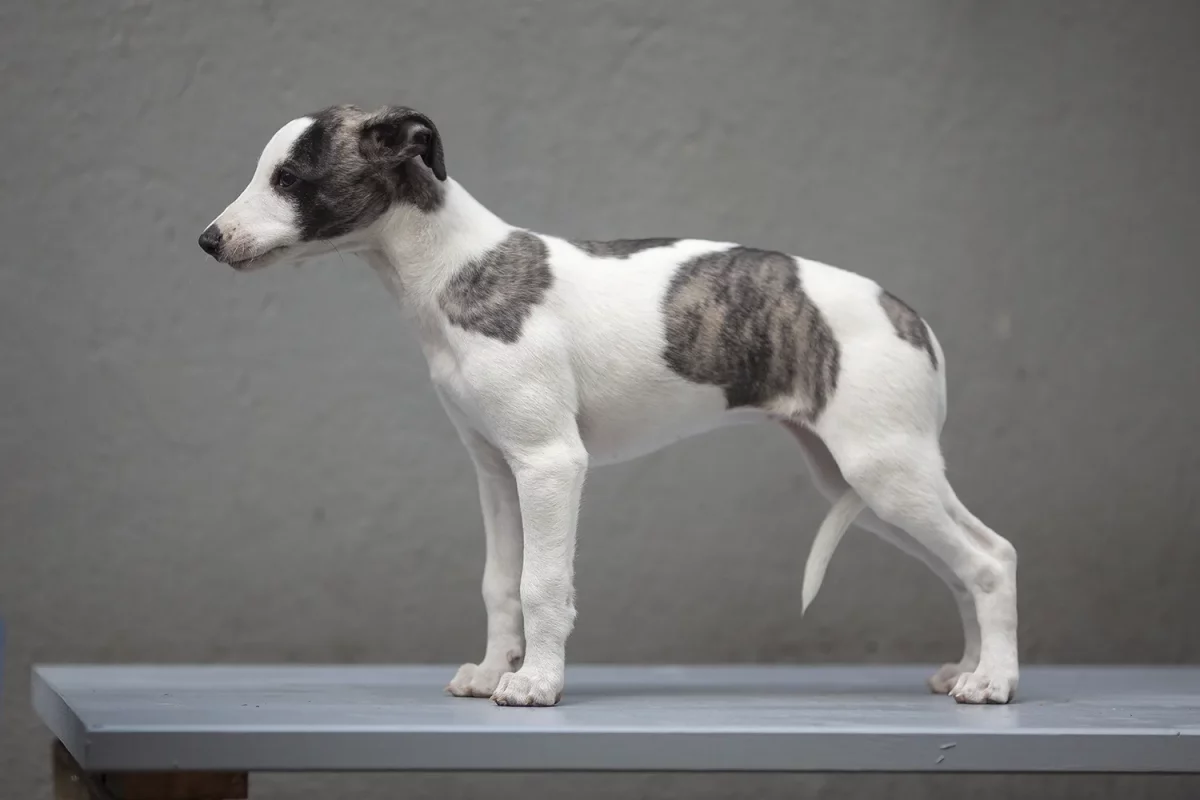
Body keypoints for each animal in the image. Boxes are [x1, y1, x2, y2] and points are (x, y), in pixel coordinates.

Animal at [198, 104, 1019, 707]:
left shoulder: (551, 464)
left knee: (989, 558)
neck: (461, 268)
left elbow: (543, 583)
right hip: (862, 480)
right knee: (969, 564)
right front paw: (493, 672)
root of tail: (911, 317)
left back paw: (997, 683)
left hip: (884, 471)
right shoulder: (497, 471)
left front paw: (535, 684)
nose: (208, 240)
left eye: (291, 176)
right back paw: (971, 669)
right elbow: (501, 583)